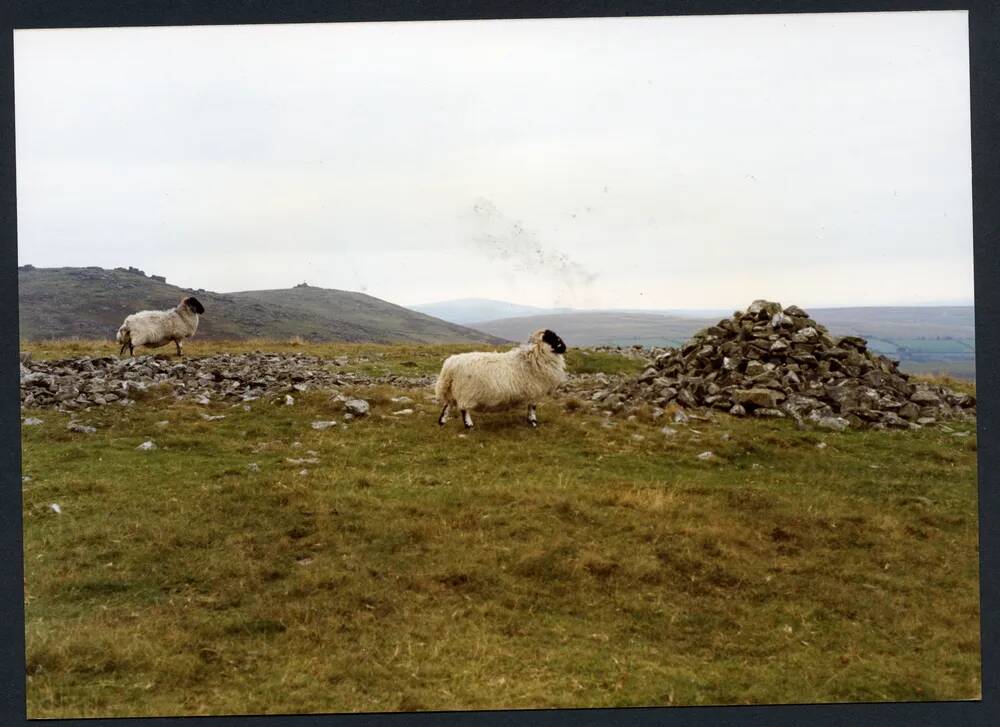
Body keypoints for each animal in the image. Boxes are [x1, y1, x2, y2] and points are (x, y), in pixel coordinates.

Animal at [434, 332, 568, 432]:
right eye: (554, 338)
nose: (565, 348)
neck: (535, 358)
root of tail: (449, 365)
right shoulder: (534, 391)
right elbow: (532, 408)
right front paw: (533, 422)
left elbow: (530, 407)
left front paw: (530, 421)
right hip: (466, 392)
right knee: (464, 410)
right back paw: (469, 426)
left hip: (452, 391)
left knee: (447, 406)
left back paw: (442, 422)